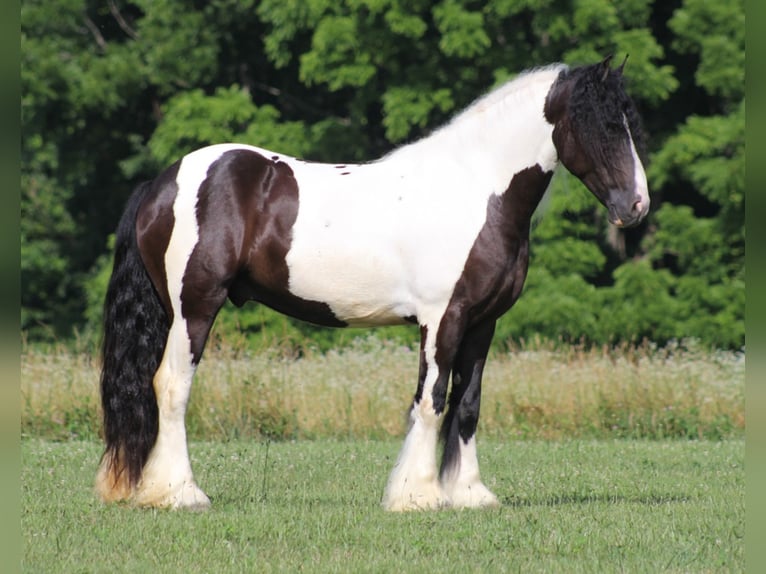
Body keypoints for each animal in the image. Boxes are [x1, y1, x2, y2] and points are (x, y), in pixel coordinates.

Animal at [94, 56, 648, 510]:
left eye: (631, 121)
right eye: (603, 124)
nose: (636, 205)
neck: (473, 191)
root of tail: (162, 182)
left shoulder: (482, 324)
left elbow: (467, 405)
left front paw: (469, 493)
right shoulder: (441, 319)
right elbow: (432, 399)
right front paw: (418, 495)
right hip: (195, 308)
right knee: (172, 385)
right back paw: (181, 494)